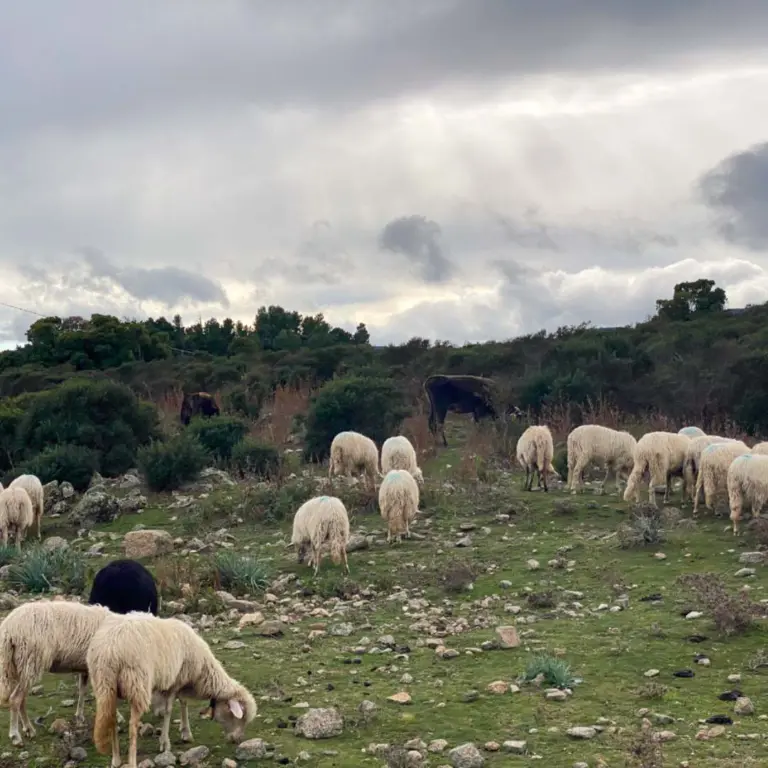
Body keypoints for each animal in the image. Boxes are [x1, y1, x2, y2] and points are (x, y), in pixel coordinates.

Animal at [0, 600, 115, 744]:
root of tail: (8, 629)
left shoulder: (85, 667)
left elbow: (82, 690)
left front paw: (79, 716)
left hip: (18, 666)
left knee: (21, 699)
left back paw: (28, 729)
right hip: (30, 660)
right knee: (15, 699)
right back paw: (15, 736)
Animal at [86, 612, 255, 768]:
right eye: (239, 717)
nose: (237, 740)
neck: (202, 672)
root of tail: (109, 650)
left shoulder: (180, 680)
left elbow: (183, 702)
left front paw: (185, 732)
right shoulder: (174, 682)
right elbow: (168, 710)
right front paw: (165, 743)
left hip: (104, 685)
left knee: (112, 718)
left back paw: (116, 759)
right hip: (138, 683)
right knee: (132, 726)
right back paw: (132, 762)